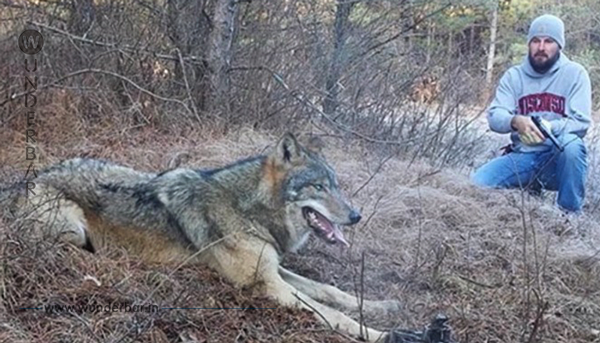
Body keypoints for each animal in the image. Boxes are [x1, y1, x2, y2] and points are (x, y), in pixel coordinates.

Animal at [4, 133, 400, 342]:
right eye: (319, 187)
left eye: (337, 185)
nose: (356, 215)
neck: (248, 210)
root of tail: (27, 178)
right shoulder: (267, 285)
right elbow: (329, 312)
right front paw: (382, 334)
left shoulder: (275, 269)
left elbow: (332, 291)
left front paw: (383, 307)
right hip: (72, 229)